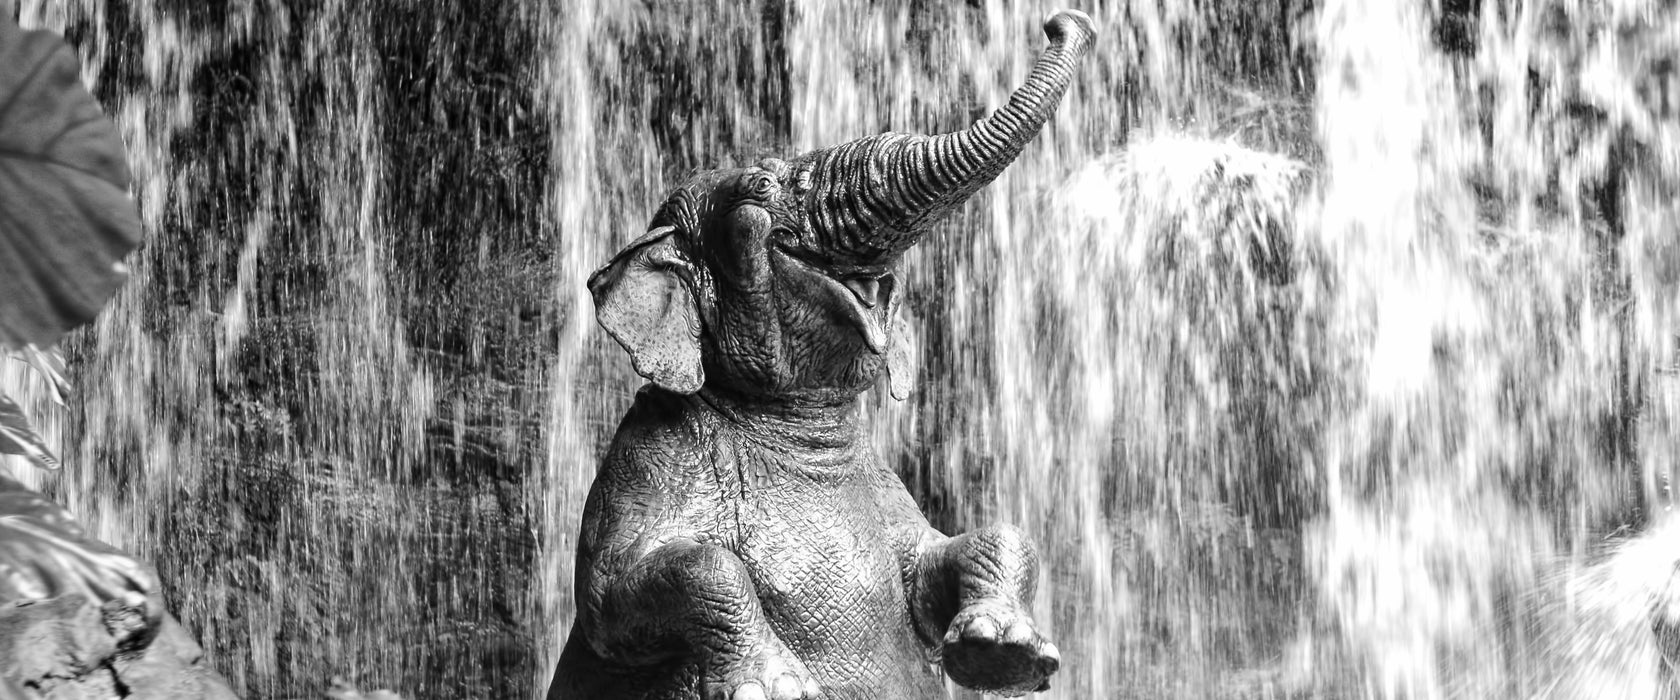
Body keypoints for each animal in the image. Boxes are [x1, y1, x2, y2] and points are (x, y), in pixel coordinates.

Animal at [554, 9, 1102, 698]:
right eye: (760, 189)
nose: (1066, 22)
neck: (797, 430)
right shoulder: (646, 458)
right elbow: (617, 594)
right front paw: (776, 688)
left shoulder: (889, 495)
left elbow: (940, 560)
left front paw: (1006, 652)